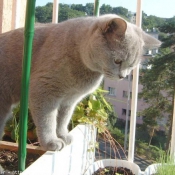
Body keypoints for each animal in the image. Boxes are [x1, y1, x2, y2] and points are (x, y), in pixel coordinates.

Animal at [0, 14, 160, 152]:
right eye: (117, 61)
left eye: (132, 66)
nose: (123, 76)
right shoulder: (44, 89)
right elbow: (47, 120)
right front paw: (51, 142)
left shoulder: (70, 100)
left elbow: (63, 119)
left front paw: (63, 135)